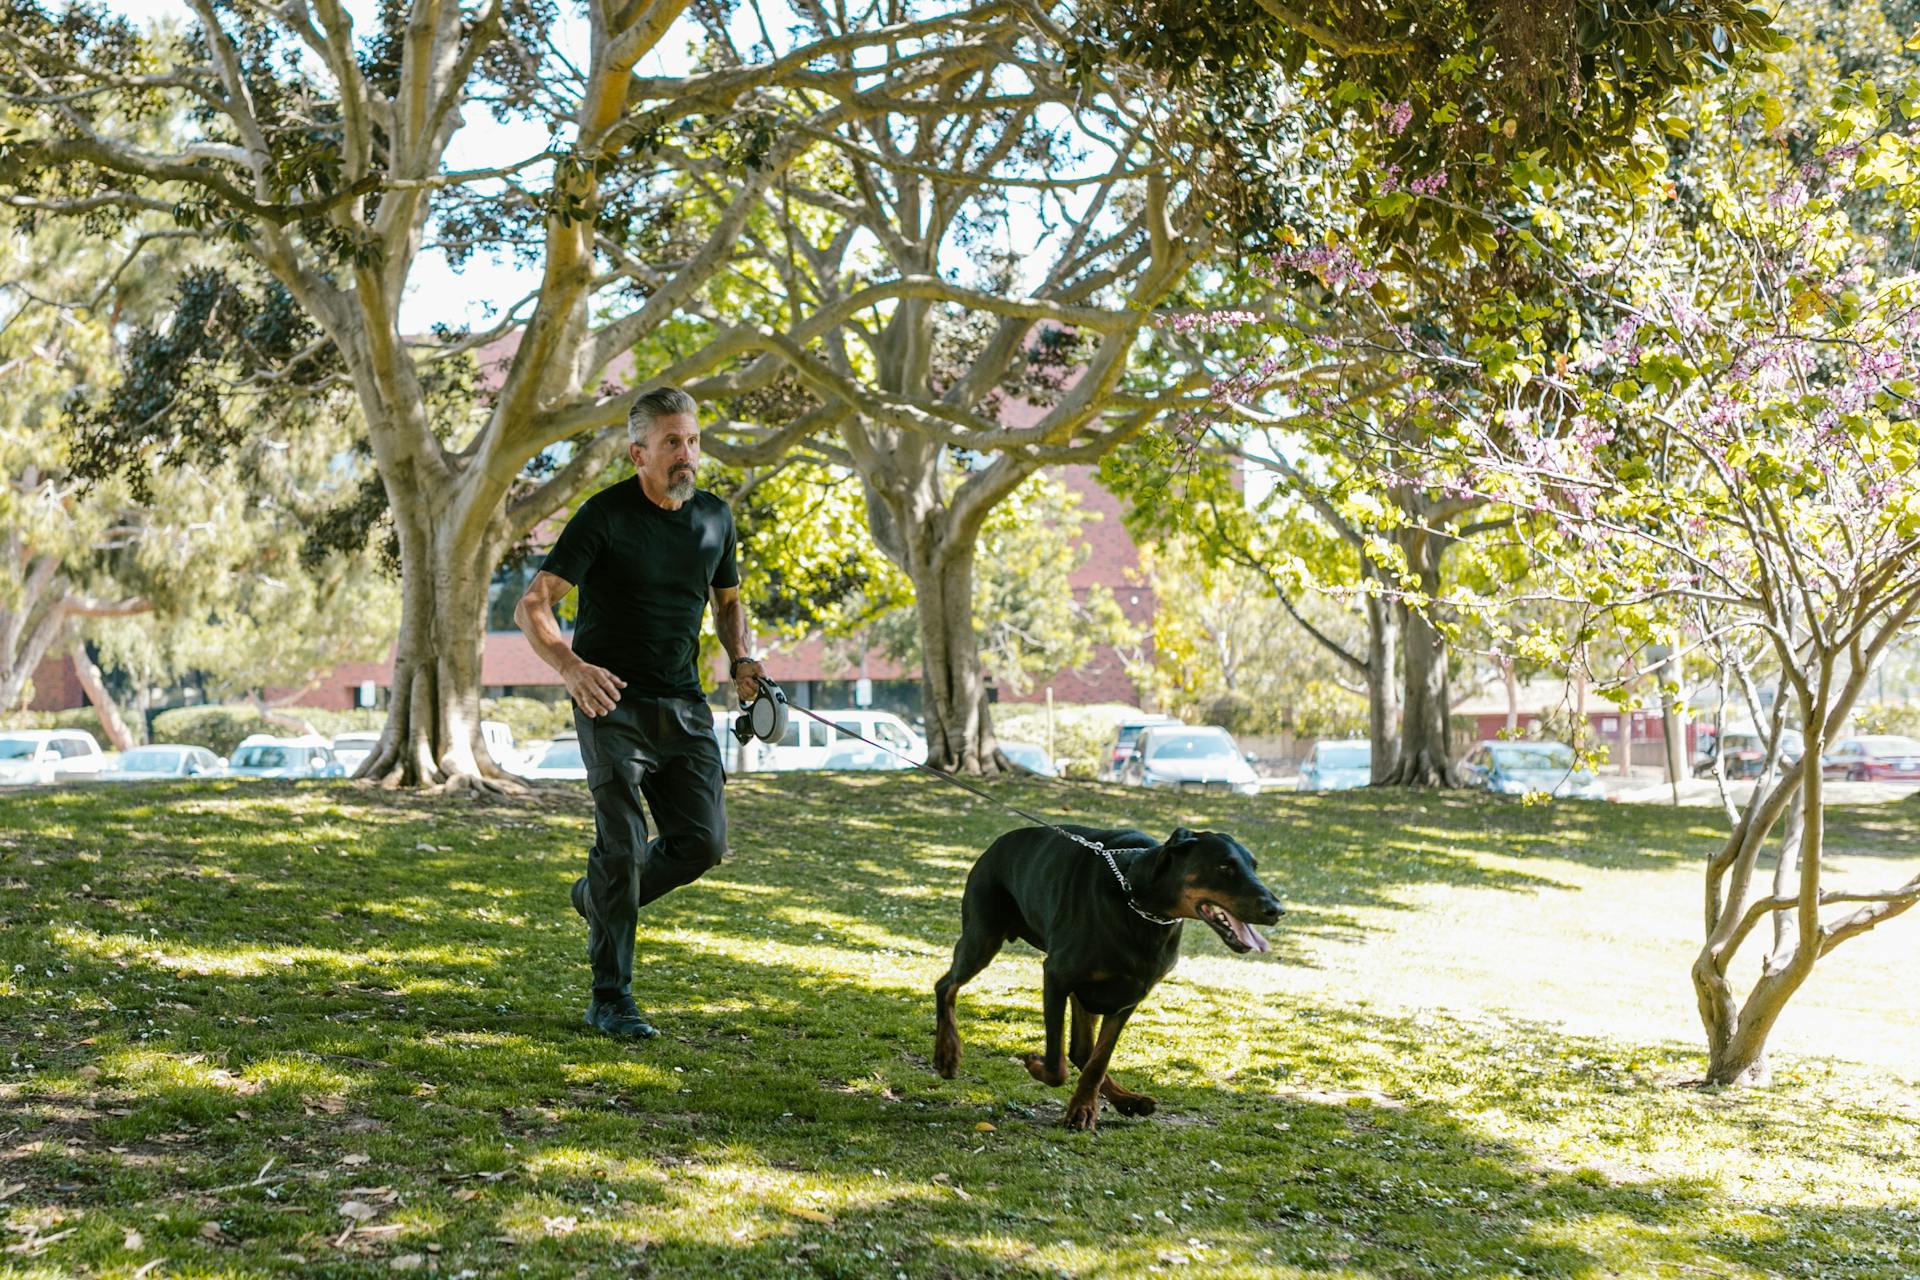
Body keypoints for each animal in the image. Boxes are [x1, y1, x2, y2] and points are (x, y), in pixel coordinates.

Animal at [933, 825, 1282, 1128]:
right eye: (1224, 867)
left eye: (1253, 867)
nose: (1277, 910)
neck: (1141, 906)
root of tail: (997, 843)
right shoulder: (1056, 976)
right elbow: (1056, 1065)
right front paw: (1035, 1065)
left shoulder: (1131, 995)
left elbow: (1097, 1062)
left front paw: (1083, 1109)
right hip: (983, 937)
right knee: (945, 985)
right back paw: (947, 1055)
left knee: (1082, 1051)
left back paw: (1128, 1100)